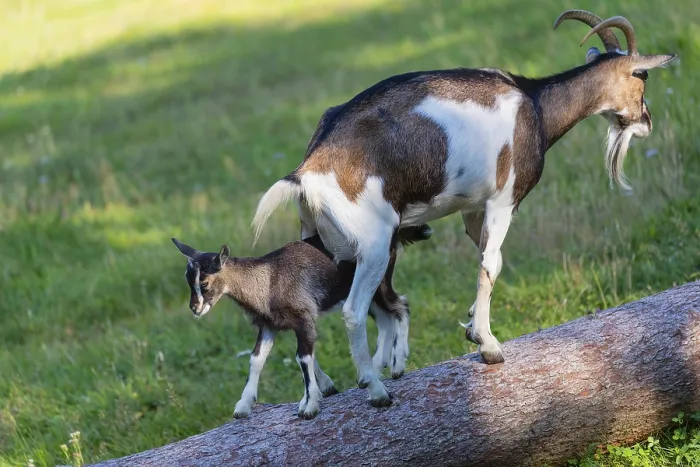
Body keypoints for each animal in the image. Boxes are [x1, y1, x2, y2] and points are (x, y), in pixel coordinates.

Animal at [170, 225, 432, 418]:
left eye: (204, 283)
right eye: (187, 280)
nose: (195, 308)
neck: (268, 280)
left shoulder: (304, 317)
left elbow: (303, 358)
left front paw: (309, 406)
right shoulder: (268, 325)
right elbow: (256, 359)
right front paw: (243, 406)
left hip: (379, 279)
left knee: (401, 306)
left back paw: (397, 365)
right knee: (385, 318)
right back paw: (374, 369)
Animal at [250, 10, 677, 406]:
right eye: (642, 76)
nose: (647, 123)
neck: (536, 107)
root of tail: (308, 169)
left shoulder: (473, 209)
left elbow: (489, 257)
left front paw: (473, 324)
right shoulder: (503, 199)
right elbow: (490, 265)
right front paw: (488, 345)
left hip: (316, 237)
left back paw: (325, 387)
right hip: (373, 246)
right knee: (353, 311)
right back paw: (374, 387)